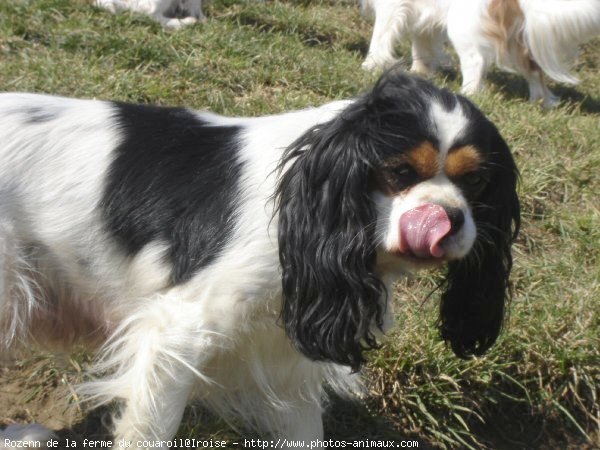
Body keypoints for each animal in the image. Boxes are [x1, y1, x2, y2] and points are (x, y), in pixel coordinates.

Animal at [0, 72, 520, 448]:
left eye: (476, 183)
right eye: (400, 172)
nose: (450, 218)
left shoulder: (287, 356)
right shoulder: (177, 333)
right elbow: (151, 430)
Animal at [358, 0, 600, 107]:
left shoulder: (390, 7)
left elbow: (379, 37)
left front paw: (370, 65)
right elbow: (422, 45)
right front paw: (420, 72)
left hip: (461, 26)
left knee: (475, 61)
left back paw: (466, 95)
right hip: (516, 40)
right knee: (533, 71)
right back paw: (539, 103)